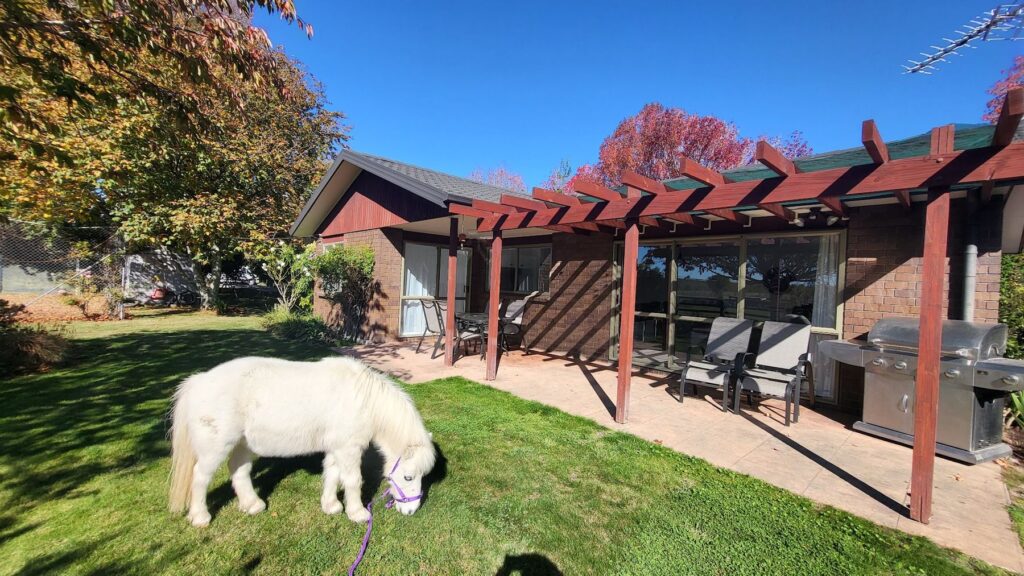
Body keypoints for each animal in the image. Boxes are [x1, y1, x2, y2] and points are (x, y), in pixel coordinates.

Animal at [167, 356, 436, 527]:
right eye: (408, 477)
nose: (410, 510)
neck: (364, 399)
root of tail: (198, 381)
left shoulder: (337, 448)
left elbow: (332, 474)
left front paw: (331, 506)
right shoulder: (349, 449)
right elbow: (352, 480)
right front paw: (357, 513)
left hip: (243, 444)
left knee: (239, 470)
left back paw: (252, 505)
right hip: (215, 449)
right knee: (200, 478)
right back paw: (200, 517)